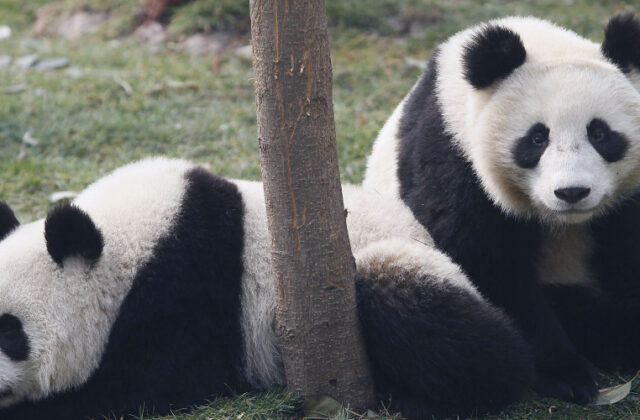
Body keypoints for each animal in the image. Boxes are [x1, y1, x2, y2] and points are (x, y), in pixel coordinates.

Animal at [364, 13, 640, 405]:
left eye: (600, 134)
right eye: (537, 138)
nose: (572, 192)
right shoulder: (451, 154)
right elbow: (488, 267)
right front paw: (565, 373)